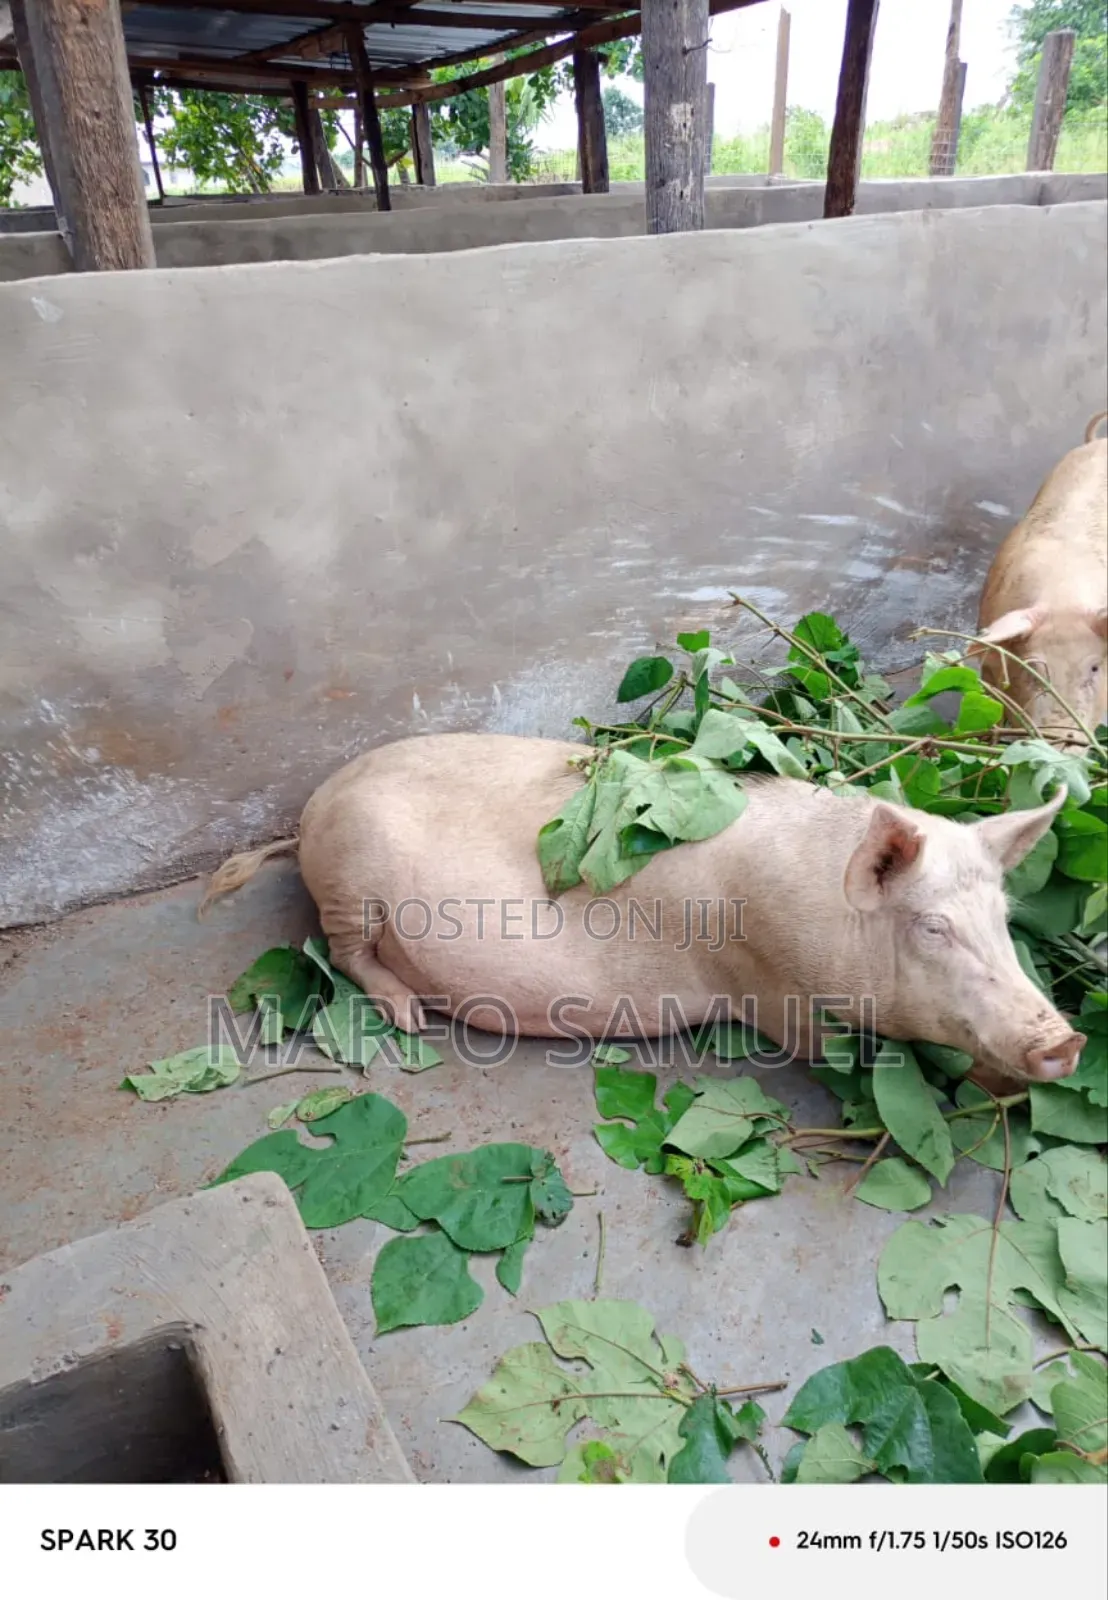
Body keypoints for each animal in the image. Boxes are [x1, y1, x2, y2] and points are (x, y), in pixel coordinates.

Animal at [203, 732, 1084, 1086]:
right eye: (932, 926)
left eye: (1003, 920)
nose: (1067, 1039)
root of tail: (311, 811)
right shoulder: (773, 994)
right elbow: (834, 1049)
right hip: (351, 885)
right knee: (345, 953)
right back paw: (409, 1015)